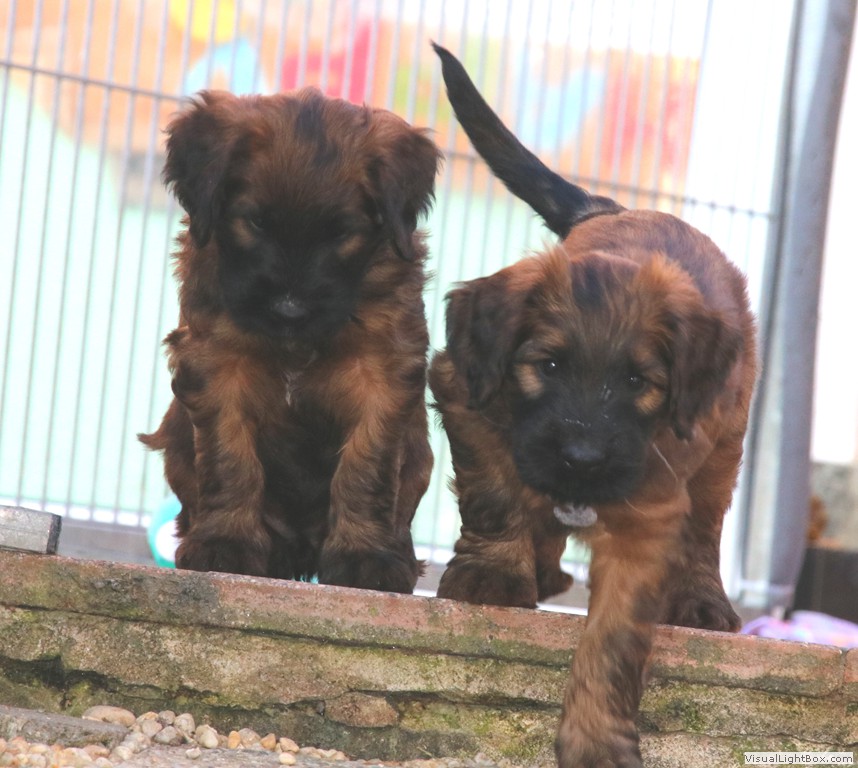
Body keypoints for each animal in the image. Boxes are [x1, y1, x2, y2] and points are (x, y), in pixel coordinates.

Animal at [140, 89, 440, 593]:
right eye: (256, 222)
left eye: (342, 232)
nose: (289, 310)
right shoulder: (217, 364)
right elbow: (230, 459)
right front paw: (226, 544)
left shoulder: (383, 375)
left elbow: (366, 468)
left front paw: (365, 556)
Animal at [428, 45, 757, 768]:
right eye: (547, 366)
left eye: (638, 382)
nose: (581, 457)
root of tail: (610, 207)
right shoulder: (464, 387)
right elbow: (494, 490)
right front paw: (494, 574)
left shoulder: (648, 512)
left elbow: (614, 638)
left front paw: (596, 739)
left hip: (726, 439)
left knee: (705, 530)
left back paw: (701, 601)